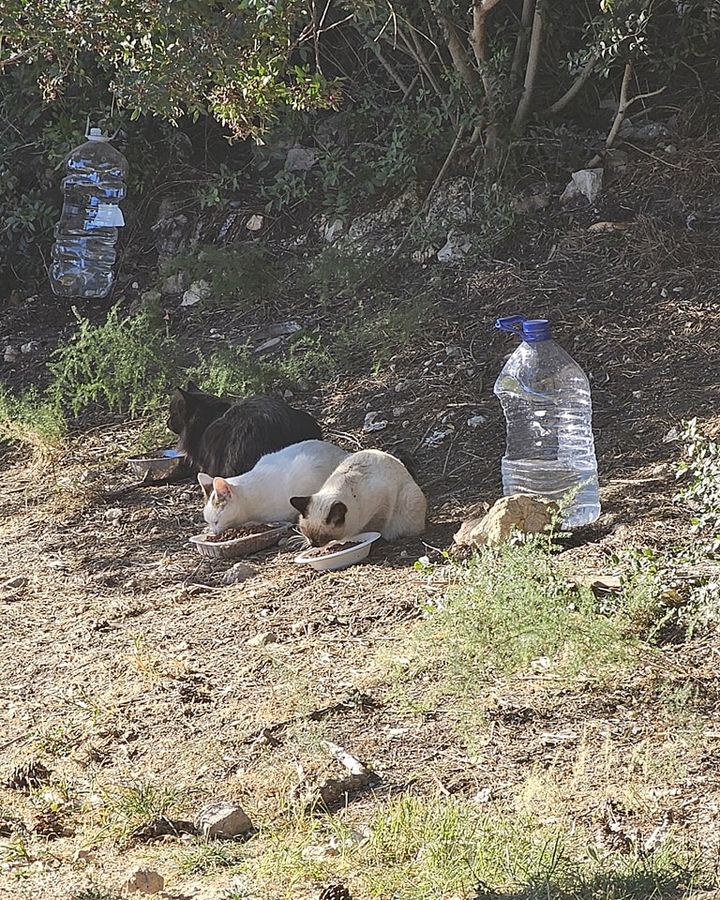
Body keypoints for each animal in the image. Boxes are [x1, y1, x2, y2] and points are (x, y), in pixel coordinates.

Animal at [290, 448, 428, 544]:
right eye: (305, 532)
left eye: (321, 538)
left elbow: (375, 526)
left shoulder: (383, 503)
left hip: (409, 497)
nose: (312, 544)